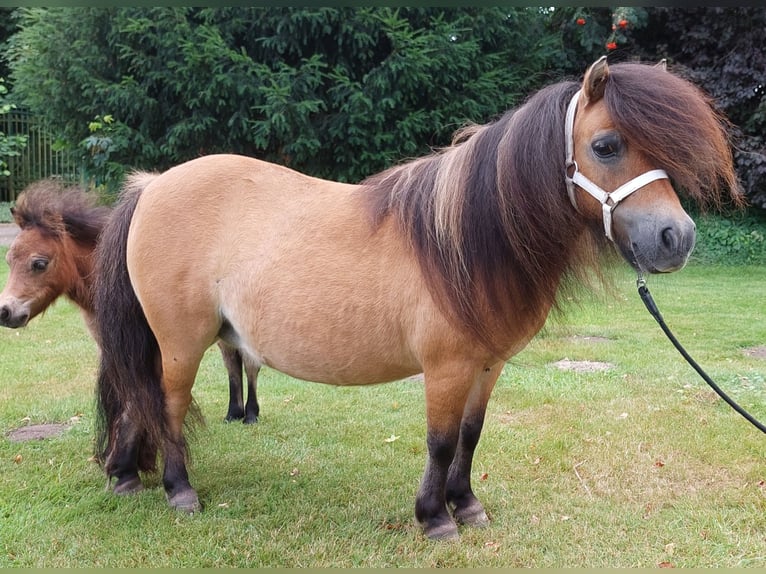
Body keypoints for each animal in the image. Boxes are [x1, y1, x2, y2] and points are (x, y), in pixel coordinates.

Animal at [0, 182, 260, 426]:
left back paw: (250, 414)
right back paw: (233, 413)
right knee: (232, 365)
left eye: (39, 263)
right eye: (9, 260)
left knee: (248, 365)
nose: (5, 311)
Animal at [93, 60, 740, 544]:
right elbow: (441, 440)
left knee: (139, 398)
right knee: (168, 404)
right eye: (606, 145)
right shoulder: (446, 367)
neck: (468, 241)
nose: (676, 239)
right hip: (183, 341)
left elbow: (471, 436)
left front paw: (467, 505)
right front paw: (434, 519)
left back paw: (124, 476)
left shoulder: (487, 365)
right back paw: (179, 490)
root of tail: (153, 184)